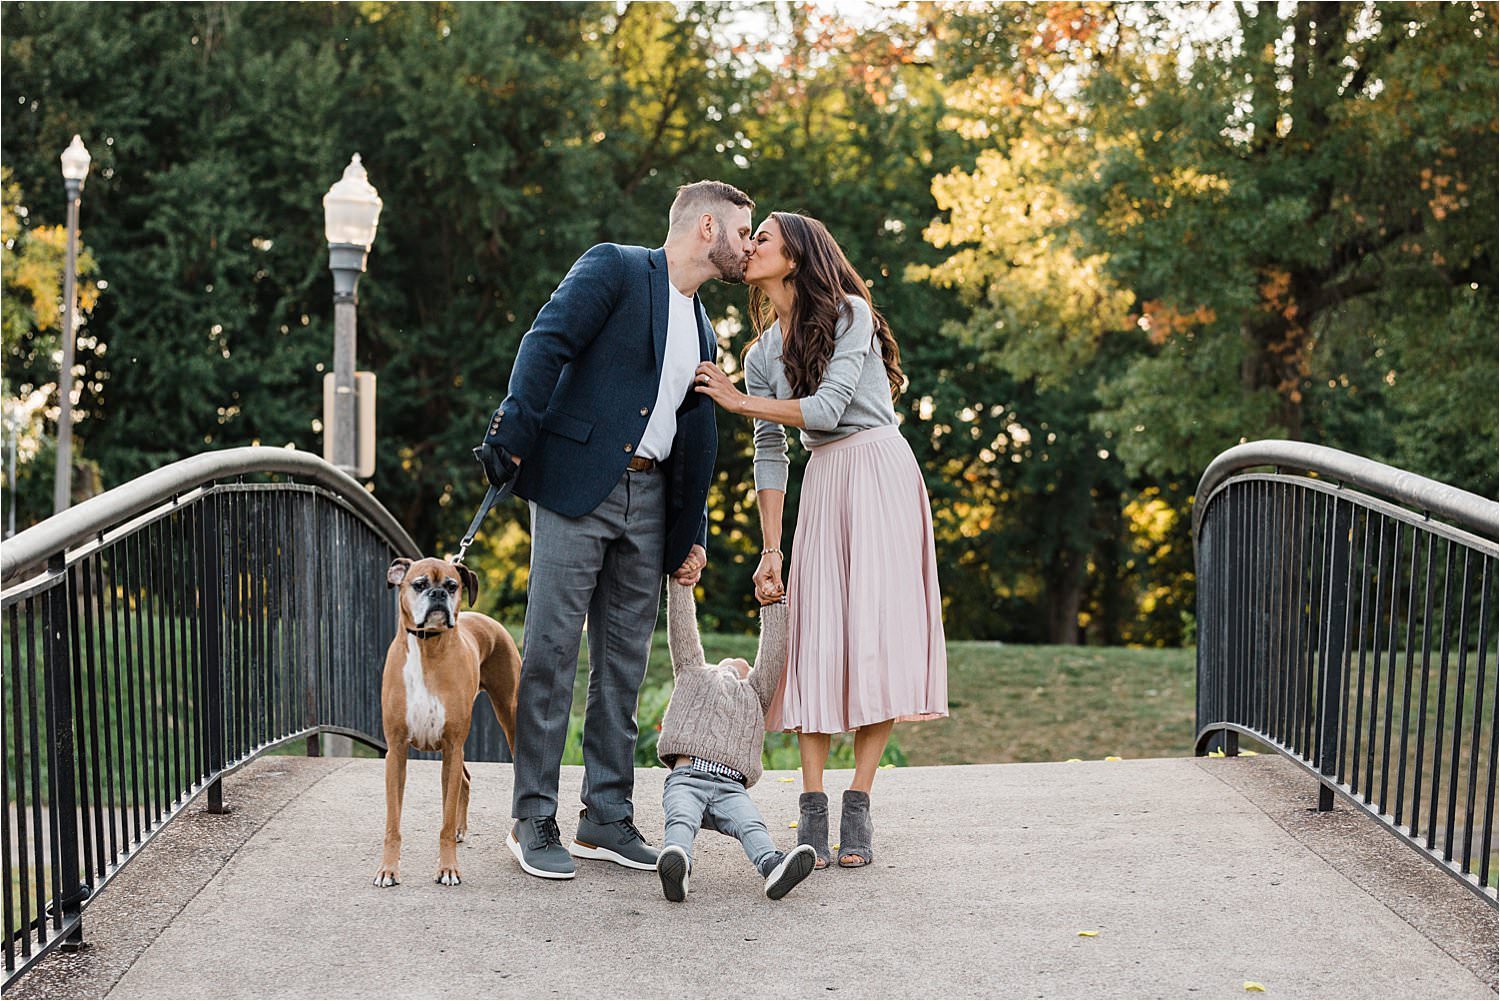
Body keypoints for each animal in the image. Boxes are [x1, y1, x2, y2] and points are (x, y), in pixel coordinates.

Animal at [373, 561, 522, 888]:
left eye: (452, 586)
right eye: (419, 584)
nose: (438, 594)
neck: (427, 649)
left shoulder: (452, 747)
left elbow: (445, 818)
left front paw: (448, 868)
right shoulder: (397, 751)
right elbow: (392, 823)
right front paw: (388, 869)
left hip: (509, 716)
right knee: (464, 780)